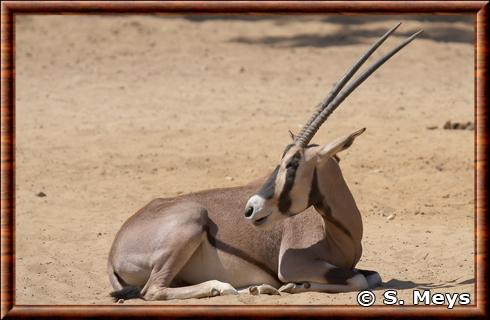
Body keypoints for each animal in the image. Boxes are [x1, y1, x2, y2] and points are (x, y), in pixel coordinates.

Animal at [108, 24, 422, 300]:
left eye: (293, 163)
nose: (250, 209)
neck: (337, 232)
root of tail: (115, 251)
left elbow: (372, 276)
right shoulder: (293, 264)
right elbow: (359, 280)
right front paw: (292, 286)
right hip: (192, 220)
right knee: (153, 290)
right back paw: (224, 287)